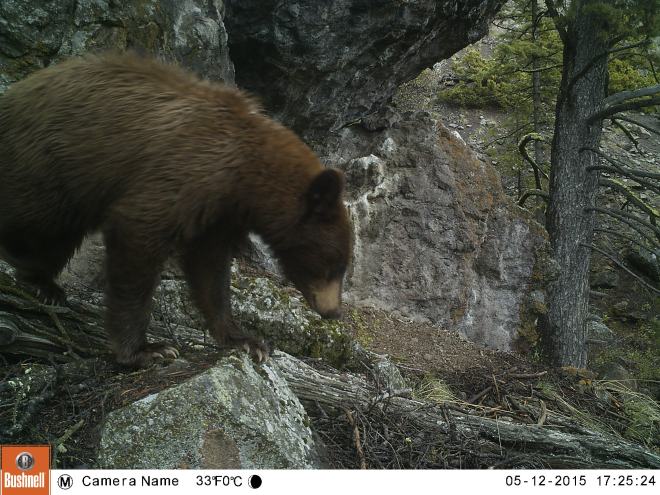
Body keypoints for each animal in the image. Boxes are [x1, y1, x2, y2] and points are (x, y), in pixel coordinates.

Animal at [0, 52, 352, 367]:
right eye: (335, 265)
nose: (333, 311)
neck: (245, 176)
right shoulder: (185, 172)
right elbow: (139, 236)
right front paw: (145, 350)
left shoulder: (218, 213)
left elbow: (210, 270)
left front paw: (246, 340)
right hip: (47, 162)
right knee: (35, 218)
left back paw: (44, 284)